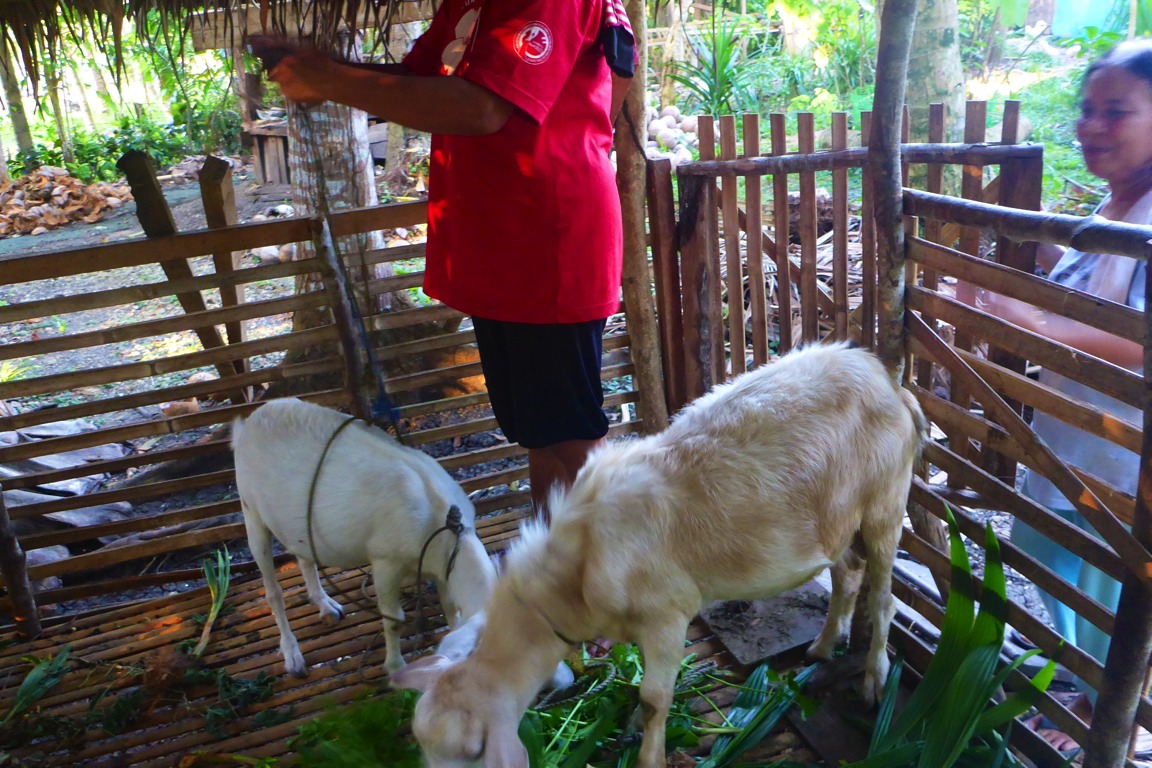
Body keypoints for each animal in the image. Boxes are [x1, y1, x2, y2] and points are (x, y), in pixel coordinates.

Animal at [232, 400, 495, 677]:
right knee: (273, 591)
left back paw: (325, 604)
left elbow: (450, 606)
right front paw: (395, 667)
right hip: (251, 510)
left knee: (304, 557)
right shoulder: (386, 561)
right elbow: (394, 620)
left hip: (295, 523)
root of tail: (248, 422)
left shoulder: (442, 567)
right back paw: (292, 655)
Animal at [391, 345, 930, 768]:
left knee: (884, 596)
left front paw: (648, 754)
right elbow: (641, 694)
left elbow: (655, 699)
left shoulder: (668, 615)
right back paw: (822, 646)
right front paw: (628, 721)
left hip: (886, 501)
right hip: (837, 518)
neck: (575, 568)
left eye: (470, 752)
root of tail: (890, 382)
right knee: (847, 574)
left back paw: (874, 680)